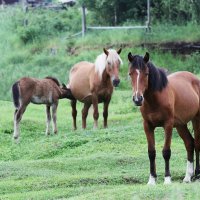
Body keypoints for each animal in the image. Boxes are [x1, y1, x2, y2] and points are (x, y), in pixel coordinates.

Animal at [128, 51, 200, 184]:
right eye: (130, 74)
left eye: (146, 74)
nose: (138, 99)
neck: (156, 99)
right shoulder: (147, 126)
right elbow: (151, 152)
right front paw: (152, 180)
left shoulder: (168, 125)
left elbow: (166, 152)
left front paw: (167, 179)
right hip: (181, 125)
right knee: (189, 143)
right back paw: (188, 177)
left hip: (196, 119)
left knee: (197, 143)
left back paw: (197, 174)